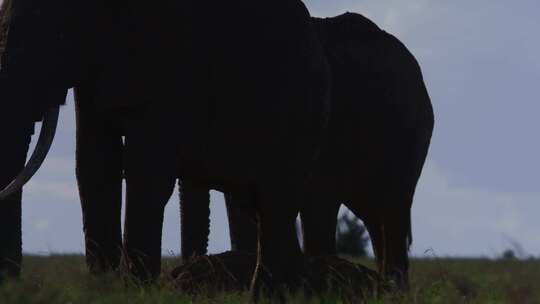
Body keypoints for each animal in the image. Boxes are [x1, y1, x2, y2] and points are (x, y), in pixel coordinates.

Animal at [0, 0, 332, 294]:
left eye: (59, 34)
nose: (12, 283)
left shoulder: (173, 61)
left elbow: (146, 171)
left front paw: (133, 290)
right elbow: (95, 163)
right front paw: (103, 287)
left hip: (301, 109)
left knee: (275, 199)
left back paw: (266, 292)